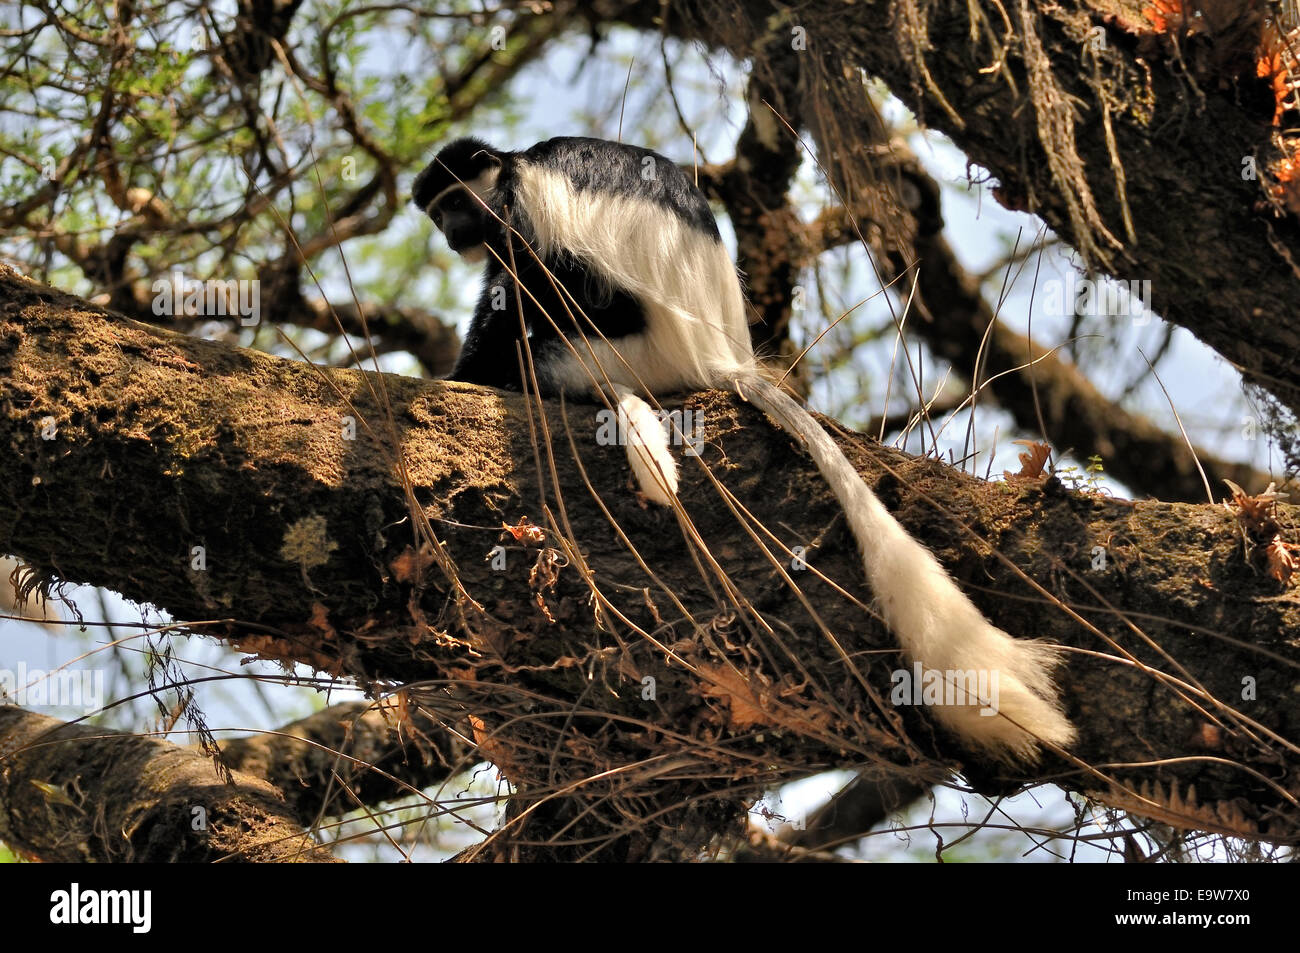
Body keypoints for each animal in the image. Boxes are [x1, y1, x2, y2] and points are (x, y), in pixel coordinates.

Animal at [416, 133, 1076, 764]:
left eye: (452, 205)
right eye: (436, 214)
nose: (448, 235)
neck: (513, 166)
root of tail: (718, 361)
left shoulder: (518, 207)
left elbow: (508, 287)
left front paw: (464, 374)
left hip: (617, 341)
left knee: (555, 282)